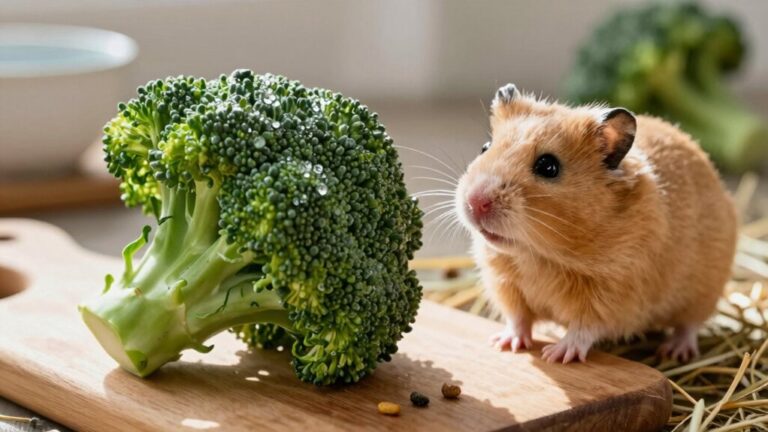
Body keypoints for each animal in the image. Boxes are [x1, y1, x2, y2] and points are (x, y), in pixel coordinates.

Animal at [455, 84, 737, 363]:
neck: (537, 255)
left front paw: (556, 355)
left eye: (548, 166)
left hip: (703, 293)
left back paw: (675, 351)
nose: (475, 202)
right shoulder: (505, 284)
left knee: (689, 325)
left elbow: (584, 328)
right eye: (485, 147)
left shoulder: (613, 295)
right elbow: (517, 318)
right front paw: (505, 344)